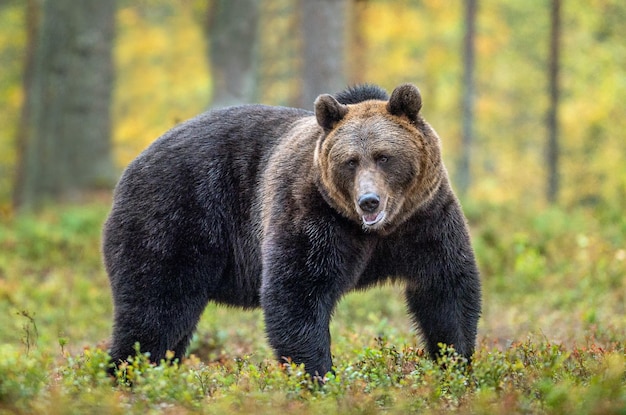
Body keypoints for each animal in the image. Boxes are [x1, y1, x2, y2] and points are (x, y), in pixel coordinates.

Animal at [105, 83, 480, 378]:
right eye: (350, 161)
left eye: (384, 156)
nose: (369, 201)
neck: (375, 231)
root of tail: (131, 166)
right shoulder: (312, 214)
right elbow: (297, 292)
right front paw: (319, 375)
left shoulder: (425, 218)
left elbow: (445, 287)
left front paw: (456, 363)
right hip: (175, 219)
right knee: (156, 309)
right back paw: (128, 375)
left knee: (173, 326)